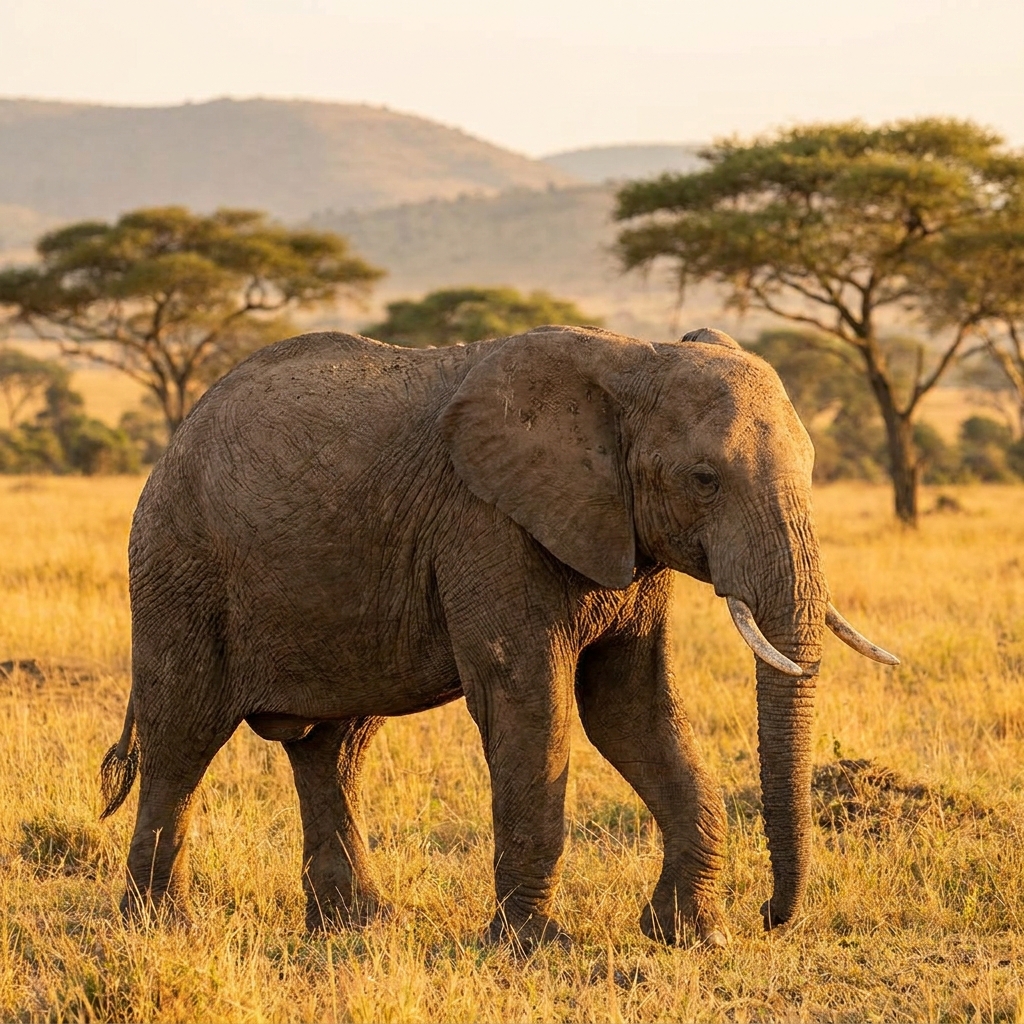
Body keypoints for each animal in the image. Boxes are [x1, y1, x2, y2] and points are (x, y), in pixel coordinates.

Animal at [100, 324, 897, 947]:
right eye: (705, 479)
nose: (771, 916)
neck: (629, 361)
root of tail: (174, 441)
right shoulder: (488, 524)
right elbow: (529, 702)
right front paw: (533, 946)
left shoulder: (622, 535)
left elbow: (630, 709)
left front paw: (693, 935)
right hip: (179, 565)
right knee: (183, 738)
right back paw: (160, 927)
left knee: (333, 748)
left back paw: (360, 926)